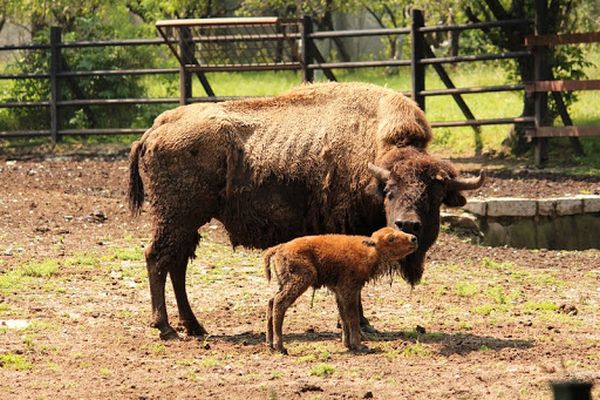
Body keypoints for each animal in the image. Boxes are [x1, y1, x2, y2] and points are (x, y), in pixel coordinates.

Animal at [127, 83, 482, 340]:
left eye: (434, 194)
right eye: (389, 191)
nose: (407, 225)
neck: (373, 153)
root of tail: (154, 130)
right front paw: (360, 323)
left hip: (187, 223)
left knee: (176, 264)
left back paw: (194, 326)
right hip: (175, 218)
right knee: (157, 258)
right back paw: (166, 328)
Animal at [262, 227, 418, 354]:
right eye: (391, 238)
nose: (414, 238)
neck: (370, 250)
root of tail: (280, 247)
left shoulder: (340, 292)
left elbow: (344, 317)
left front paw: (347, 344)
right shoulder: (350, 290)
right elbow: (353, 317)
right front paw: (359, 346)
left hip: (284, 283)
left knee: (271, 302)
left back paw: (270, 344)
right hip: (299, 281)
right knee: (279, 303)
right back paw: (281, 347)